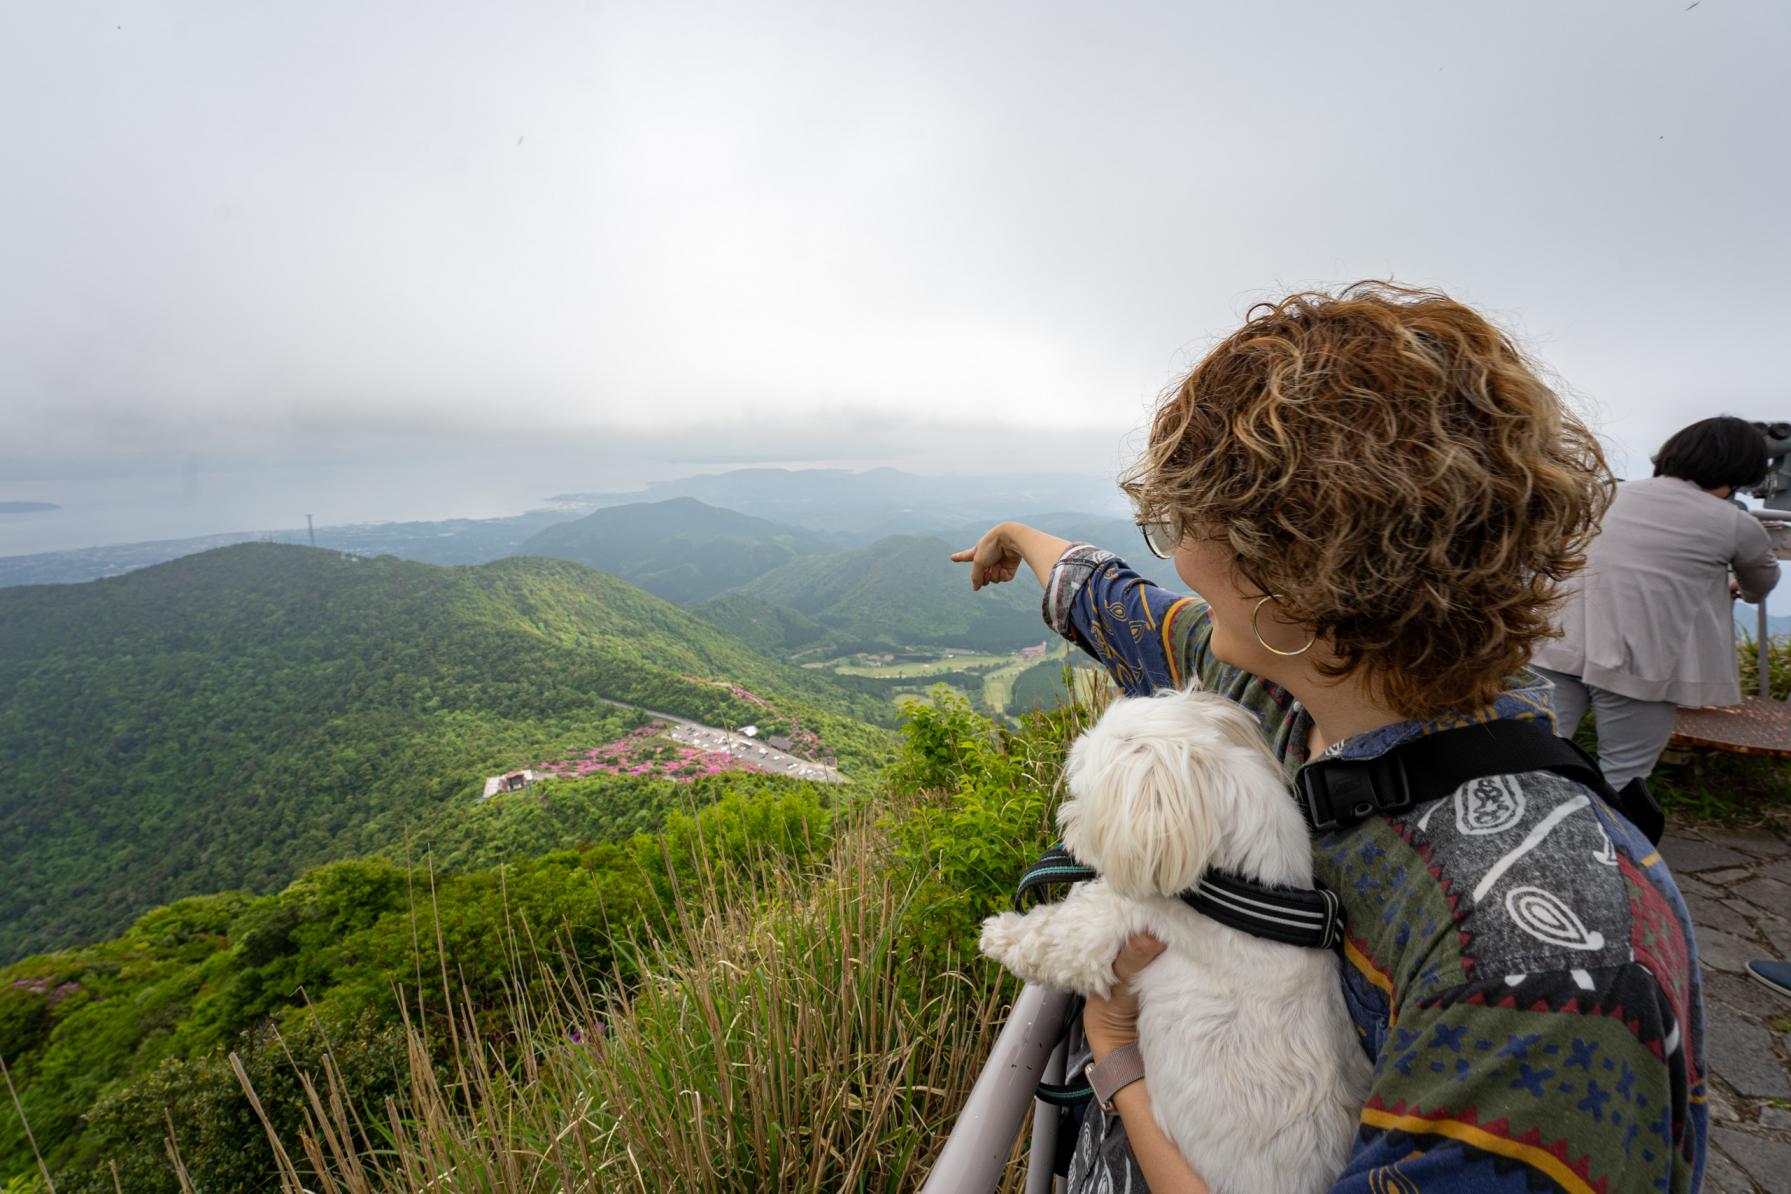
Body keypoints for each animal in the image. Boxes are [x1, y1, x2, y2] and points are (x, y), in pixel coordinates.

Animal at [981, 690, 1368, 1194]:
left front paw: (998, 934)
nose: (1066, 823)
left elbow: (1054, 936)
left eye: (1086, 794)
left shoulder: (1114, 927)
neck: (1240, 895)